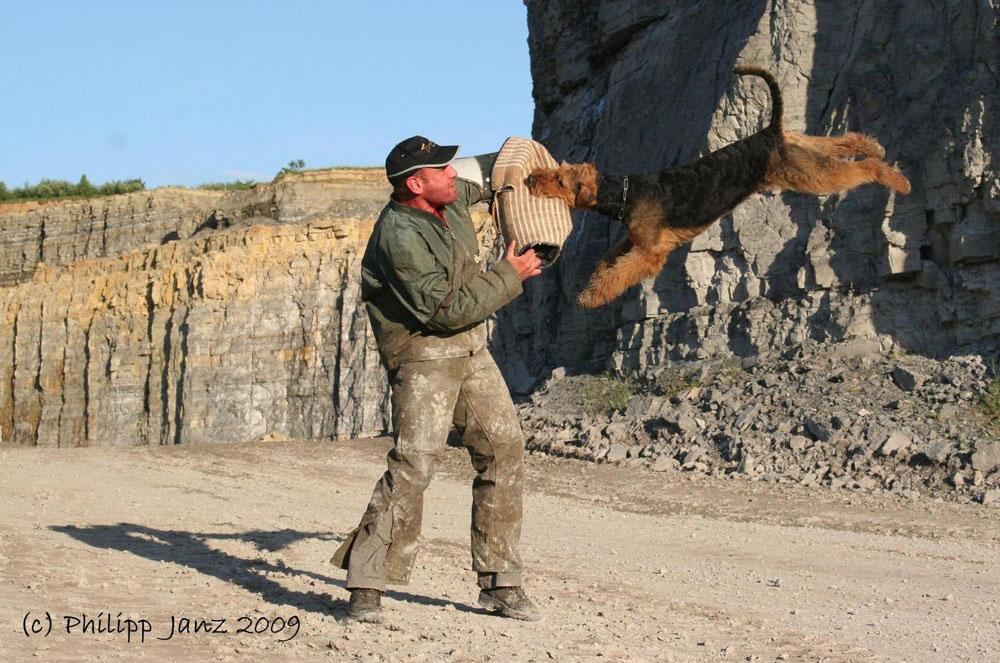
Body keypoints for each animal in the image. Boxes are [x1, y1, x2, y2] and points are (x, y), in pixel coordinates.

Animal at [528, 65, 912, 308]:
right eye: (559, 169)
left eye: (560, 180)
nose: (531, 179)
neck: (623, 193)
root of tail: (770, 130)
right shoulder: (632, 241)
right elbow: (606, 264)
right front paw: (588, 292)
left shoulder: (651, 253)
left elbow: (619, 273)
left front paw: (591, 298)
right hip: (802, 152)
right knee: (843, 142)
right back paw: (874, 146)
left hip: (808, 175)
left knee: (861, 169)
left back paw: (898, 179)